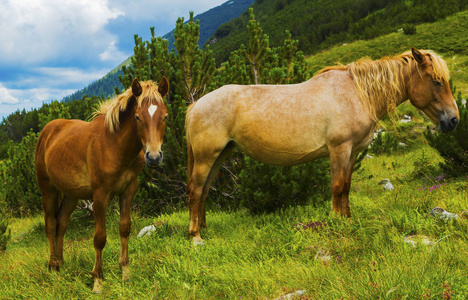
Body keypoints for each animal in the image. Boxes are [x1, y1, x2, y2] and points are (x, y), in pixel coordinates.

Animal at [35, 77, 170, 292]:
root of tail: (46, 132)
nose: (154, 157)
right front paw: (97, 280)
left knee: (61, 224)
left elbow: (125, 228)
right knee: (50, 225)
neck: (114, 145)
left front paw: (125, 273)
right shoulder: (100, 195)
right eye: (138, 117)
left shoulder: (129, 189)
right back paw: (54, 269)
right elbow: (99, 238)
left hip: (71, 195)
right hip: (48, 189)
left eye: (164, 116)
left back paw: (61, 264)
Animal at [185, 47, 458, 244]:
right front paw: (336, 222)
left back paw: (204, 228)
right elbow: (336, 187)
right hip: (206, 157)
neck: (358, 94)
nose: (453, 120)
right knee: (195, 191)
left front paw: (347, 221)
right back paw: (195, 236)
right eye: (436, 81)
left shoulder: (351, 152)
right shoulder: (339, 149)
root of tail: (196, 105)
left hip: (220, 155)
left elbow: (346, 187)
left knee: (205, 191)